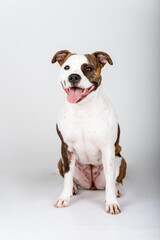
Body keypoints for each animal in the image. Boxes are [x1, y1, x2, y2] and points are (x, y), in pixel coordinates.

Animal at [52, 50, 127, 214]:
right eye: (67, 67)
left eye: (88, 68)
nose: (73, 77)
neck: (82, 109)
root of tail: (92, 185)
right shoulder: (66, 148)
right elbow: (67, 176)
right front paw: (64, 197)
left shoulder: (107, 149)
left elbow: (110, 181)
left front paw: (112, 202)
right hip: (61, 161)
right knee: (70, 177)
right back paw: (73, 189)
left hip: (120, 159)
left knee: (116, 180)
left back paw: (117, 189)